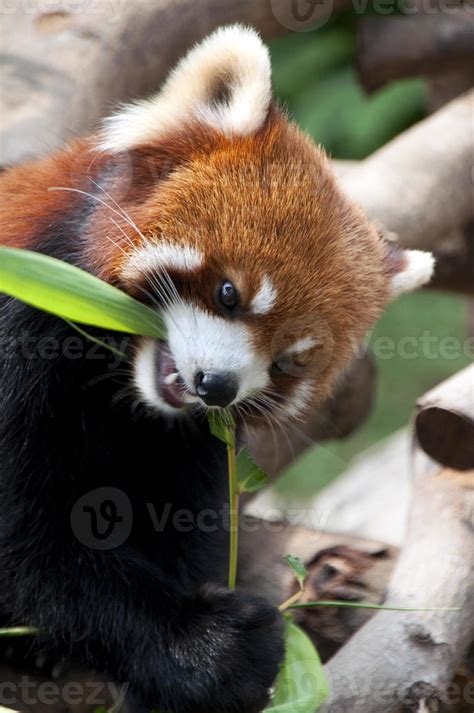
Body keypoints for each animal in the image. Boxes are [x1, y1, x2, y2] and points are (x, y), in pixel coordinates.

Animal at [0, 23, 434, 712]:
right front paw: (205, 647)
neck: (122, 386)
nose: (216, 386)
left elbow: (185, 523)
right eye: (229, 293)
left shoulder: (191, 441)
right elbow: (31, 540)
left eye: (288, 361)